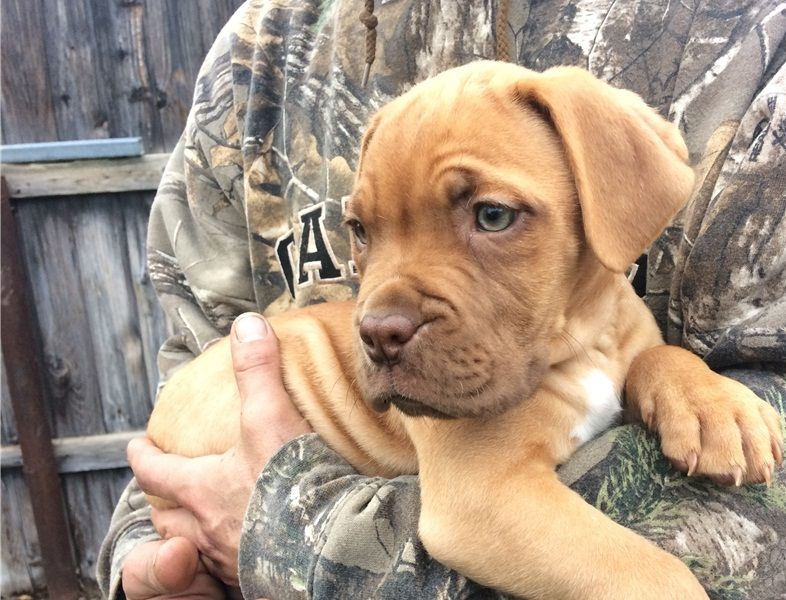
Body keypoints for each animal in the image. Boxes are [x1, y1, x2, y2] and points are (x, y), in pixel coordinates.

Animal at [145, 62, 776, 600]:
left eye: (492, 216)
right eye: (359, 230)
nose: (378, 335)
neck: (582, 342)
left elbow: (661, 356)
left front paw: (719, 410)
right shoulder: (487, 496)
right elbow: (647, 570)